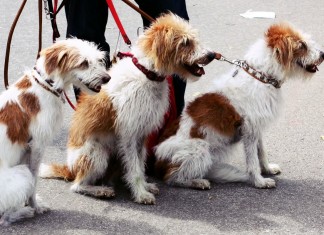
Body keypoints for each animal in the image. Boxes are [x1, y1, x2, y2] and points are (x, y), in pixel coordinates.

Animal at [0, 38, 110, 226]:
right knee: (3, 219)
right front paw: (34, 206)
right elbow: (34, 179)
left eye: (99, 60)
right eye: (84, 63)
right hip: (21, 174)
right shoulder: (37, 146)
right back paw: (24, 212)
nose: (107, 78)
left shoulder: (27, 149)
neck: (46, 85)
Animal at [38, 13, 215, 204]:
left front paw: (145, 186)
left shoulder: (142, 134)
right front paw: (141, 194)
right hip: (97, 153)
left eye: (194, 38)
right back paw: (100, 190)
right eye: (185, 42)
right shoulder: (129, 135)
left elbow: (140, 164)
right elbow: (135, 169)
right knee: (77, 186)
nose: (211, 55)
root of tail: (70, 168)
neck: (147, 73)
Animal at [154, 23, 324, 190]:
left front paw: (267, 169)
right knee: (172, 178)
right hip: (199, 148)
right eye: (302, 45)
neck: (260, 76)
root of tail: (157, 162)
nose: (323, 54)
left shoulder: (257, 128)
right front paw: (259, 181)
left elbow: (261, 152)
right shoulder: (249, 131)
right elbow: (252, 160)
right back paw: (197, 182)